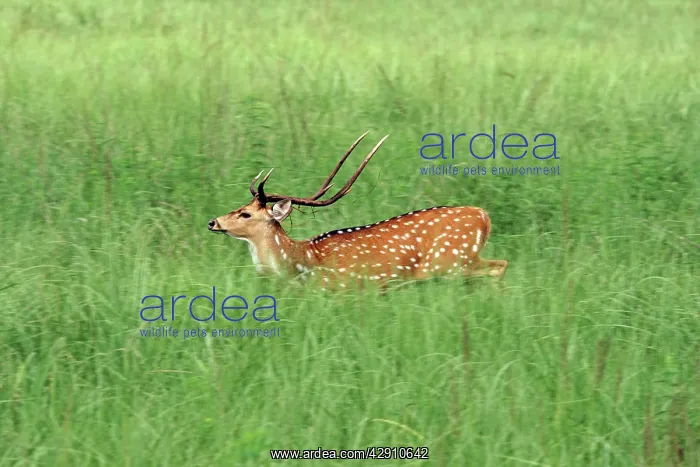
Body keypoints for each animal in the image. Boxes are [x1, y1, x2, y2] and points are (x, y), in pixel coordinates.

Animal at [208, 131, 508, 290]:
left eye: (245, 214)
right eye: (240, 206)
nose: (213, 221)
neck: (300, 265)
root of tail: (484, 216)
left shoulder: (341, 289)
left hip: (449, 263)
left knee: (496, 268)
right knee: (500, 264)